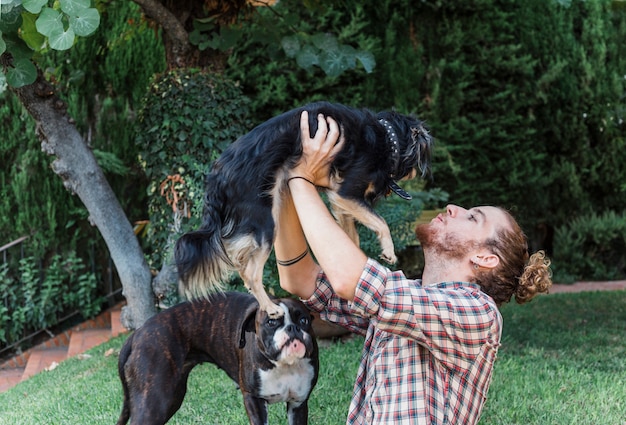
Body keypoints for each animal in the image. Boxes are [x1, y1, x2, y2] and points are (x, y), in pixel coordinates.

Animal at [173, 101, 432, 316]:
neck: (386, 138)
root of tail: (217, 175)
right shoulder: (346, 192)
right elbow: (381, 222)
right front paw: (388, 250)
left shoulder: (341, 201)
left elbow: (352, 239)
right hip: (264, 223)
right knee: (251, 274)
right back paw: (270, 308)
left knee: (240, 262)